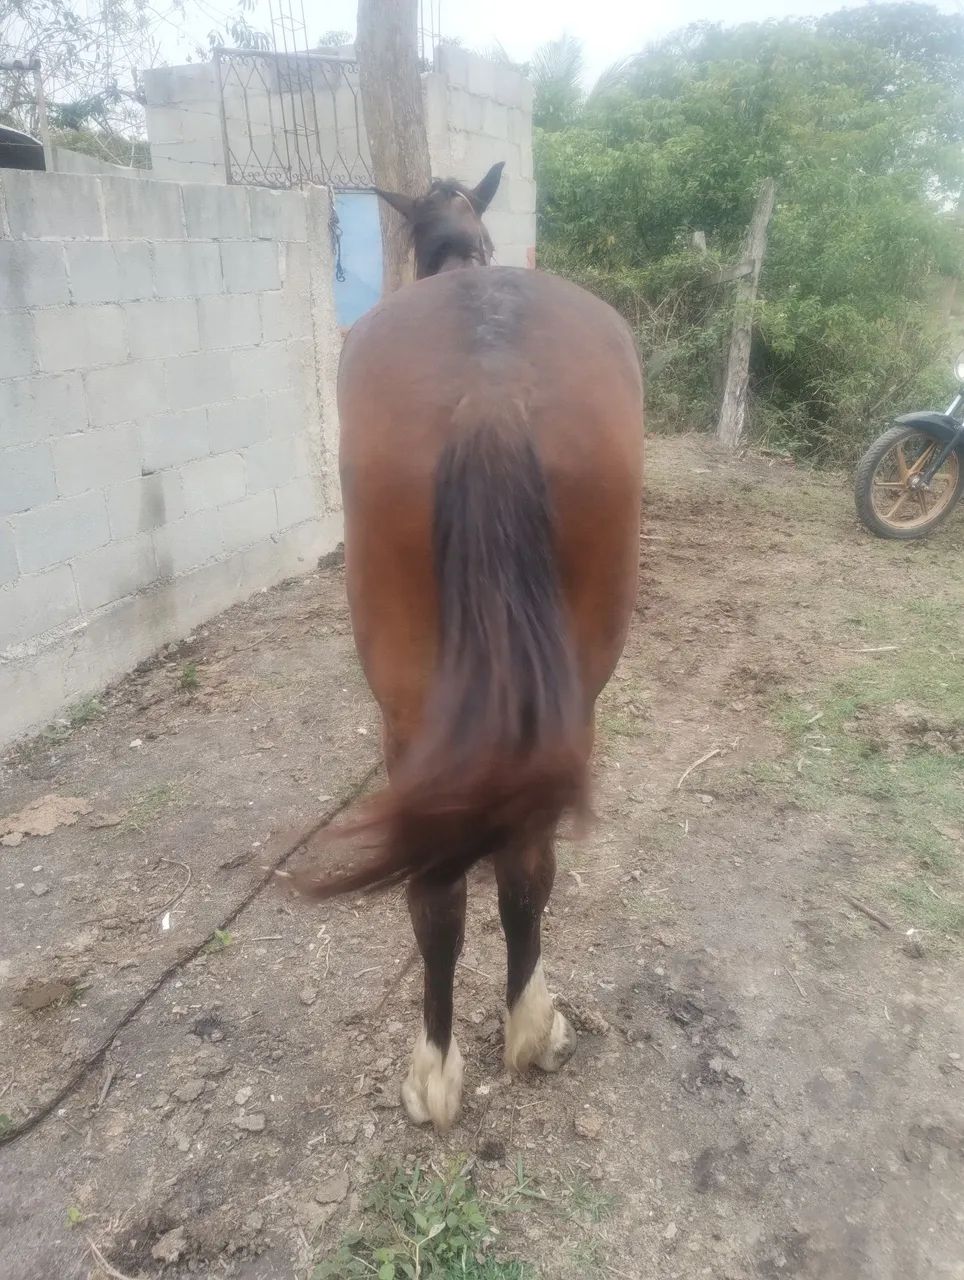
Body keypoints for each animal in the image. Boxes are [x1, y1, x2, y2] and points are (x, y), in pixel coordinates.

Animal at [296, 161, 643, 1131]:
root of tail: (490, 392)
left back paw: (438, 1068)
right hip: (578, 687)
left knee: (441, 888)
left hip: (410, 711)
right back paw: (528, 1029)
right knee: (526, 861)